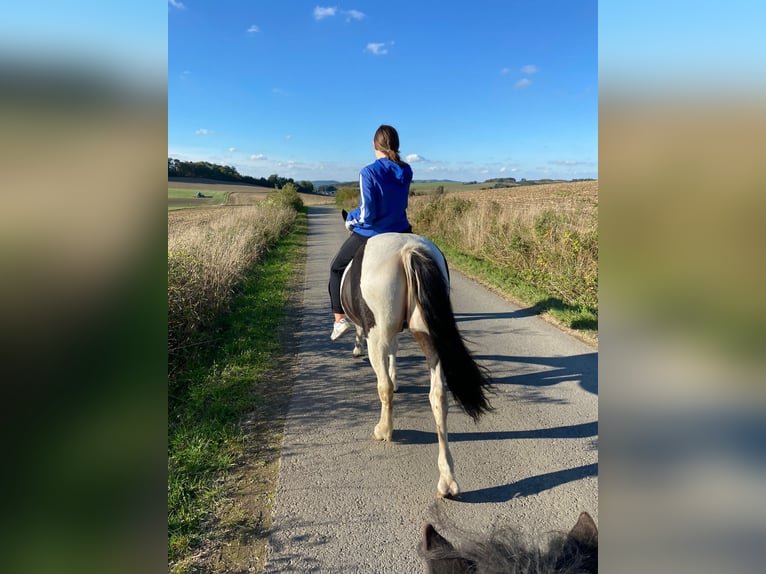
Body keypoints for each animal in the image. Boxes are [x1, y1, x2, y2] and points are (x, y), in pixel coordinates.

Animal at [340, 232, 496, 498]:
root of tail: (408, 249)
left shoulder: (374, 331)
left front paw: (356, 348)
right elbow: (395, 351)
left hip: (379, 335)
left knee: (384, 387)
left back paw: (384, 430)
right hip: (431, 337)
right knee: (438, 396)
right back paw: (447, 479)